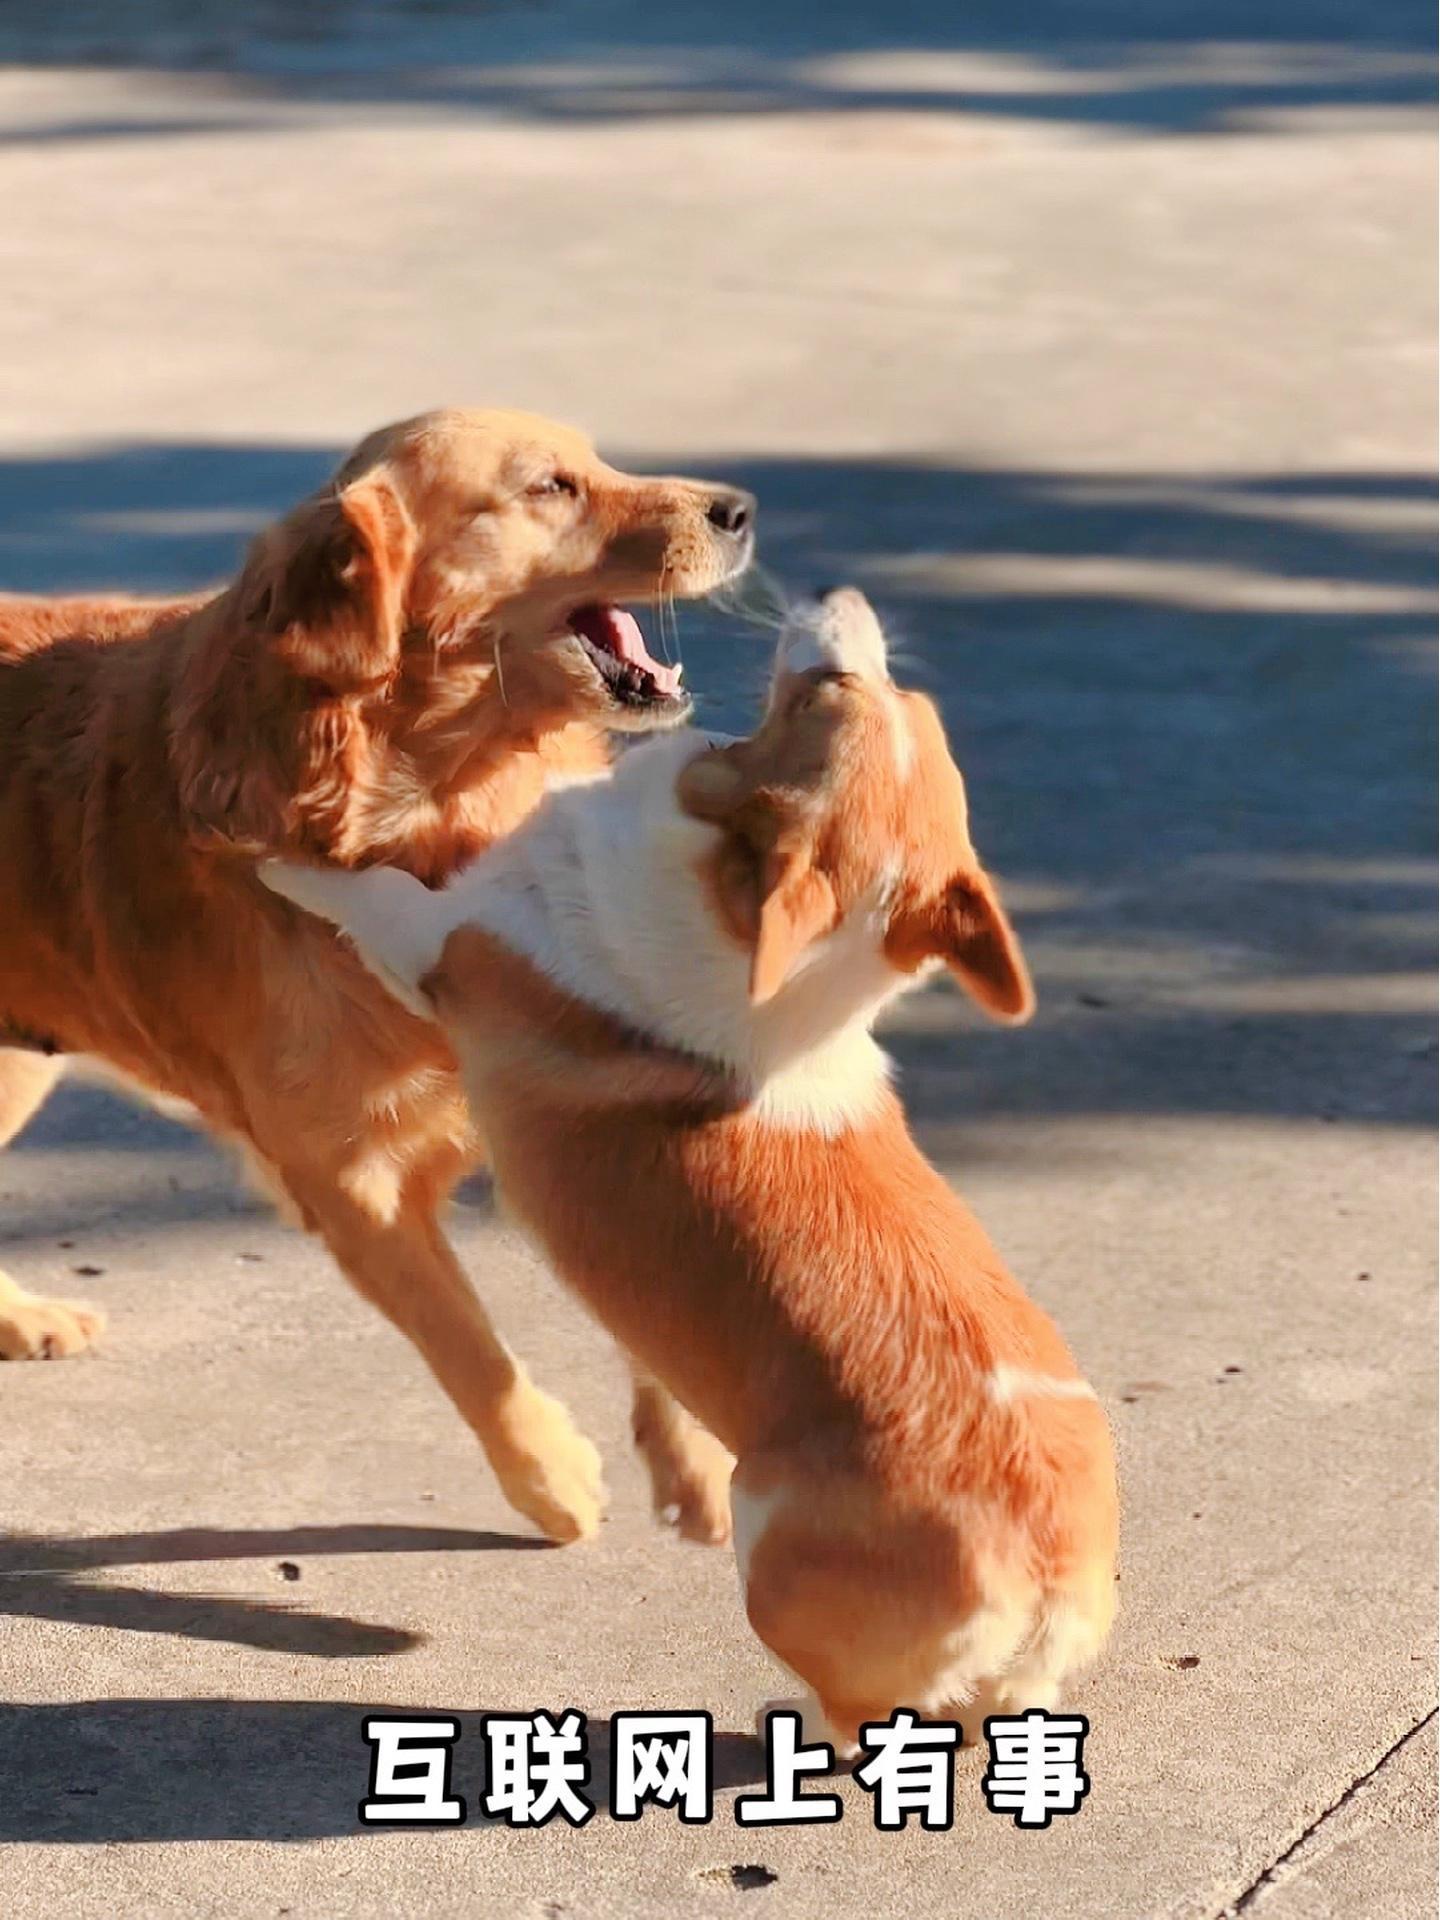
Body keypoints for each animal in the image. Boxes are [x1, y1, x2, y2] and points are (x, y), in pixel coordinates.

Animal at [264, 591, 1121, 1751]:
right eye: (897, 698)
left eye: (823, 693)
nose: (848, 601)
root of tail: (1046, 1575)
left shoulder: (432, 941)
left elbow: (371, 889)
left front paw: (268, 858)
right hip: (1011, 1675)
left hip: (770, 1555)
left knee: (857, 1718)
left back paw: (789, 1724)